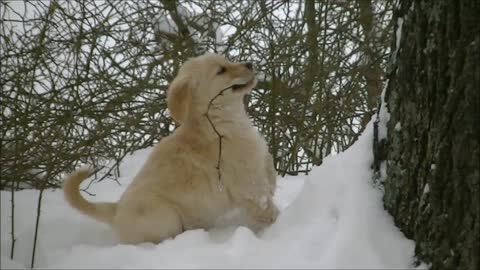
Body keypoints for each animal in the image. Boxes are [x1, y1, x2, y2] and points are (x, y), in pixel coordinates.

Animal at [65, 52, 280, 245]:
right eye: (221, 70)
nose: (250, 64)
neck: (219, 121)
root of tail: (115, 210)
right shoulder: (249, 184)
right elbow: (266, 207)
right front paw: (278, 224)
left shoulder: (259, 160)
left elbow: (269, 169)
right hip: (165, 216)